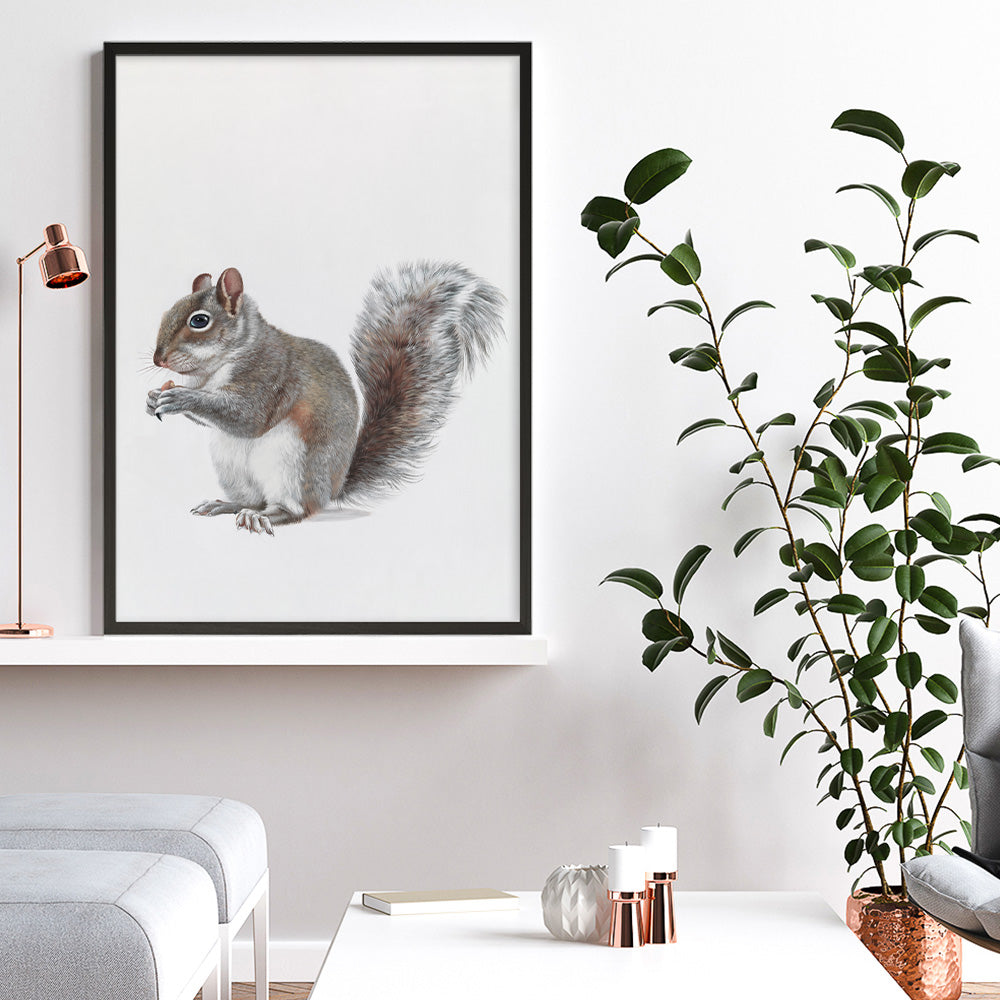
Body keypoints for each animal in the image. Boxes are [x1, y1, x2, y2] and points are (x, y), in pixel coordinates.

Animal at [146, 262, 505, 534]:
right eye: (166, 312)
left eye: (199, 321)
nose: (158, 359)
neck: (214, 368)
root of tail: (331, 491)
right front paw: (153, 400)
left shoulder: (271, 375)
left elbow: (249, 416)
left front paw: (180, 398)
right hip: (230, 464)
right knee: (253, 498)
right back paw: (227, 504)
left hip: (293, 465)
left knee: (292, 510)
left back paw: (262, 517)